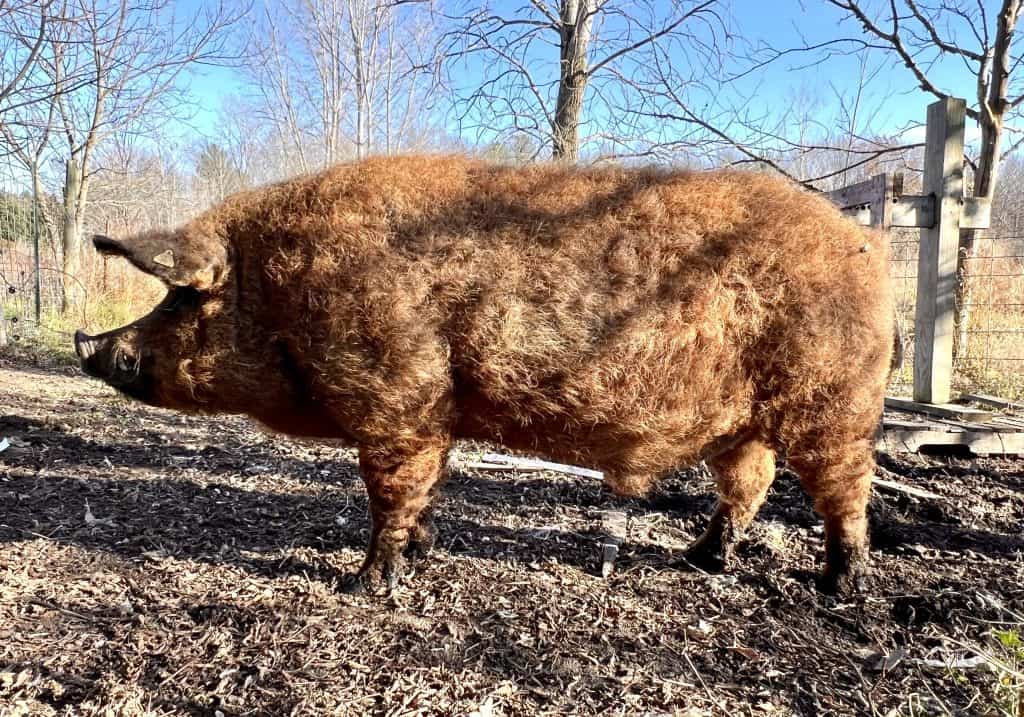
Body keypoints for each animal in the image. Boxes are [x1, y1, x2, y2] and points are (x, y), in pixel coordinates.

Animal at [75, 155, 894, 595]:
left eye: (183, 297)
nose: (88, 345)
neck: (280, 290)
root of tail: (868, 247)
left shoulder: (399, 398)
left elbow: (390, 494)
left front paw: (365, 583)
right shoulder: (432, 415)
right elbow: (426, 489)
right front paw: (423, 554)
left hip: (835, 401)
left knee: (846, 492)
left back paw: (839, 586)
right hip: (744, 420)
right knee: (748, 483)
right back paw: (699, 559)